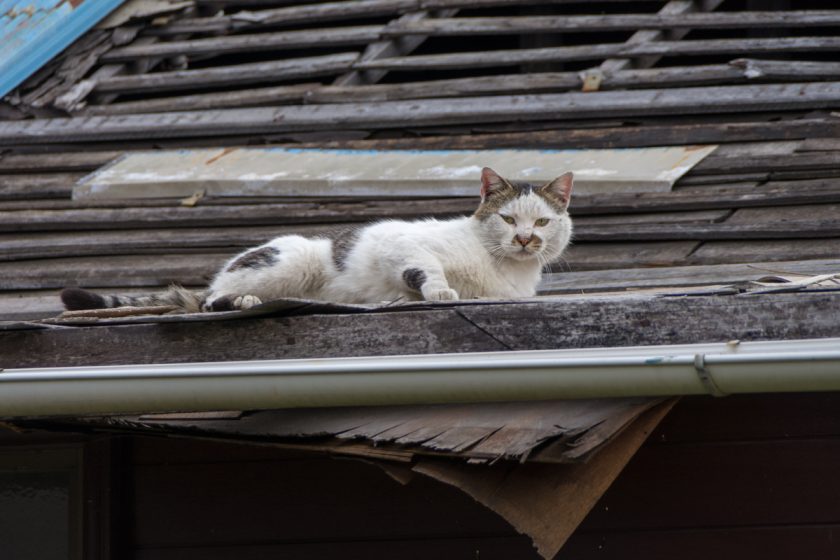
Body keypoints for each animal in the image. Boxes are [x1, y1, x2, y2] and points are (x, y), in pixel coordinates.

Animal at [59, 166, 572, 316]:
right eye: (507, 218)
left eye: (543, 223)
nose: (524, 239)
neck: (504, 267)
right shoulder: (400, 245)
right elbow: (426, 268)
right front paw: (440, 290)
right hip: (289, 261)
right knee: (208, 302)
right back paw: (241, 301)